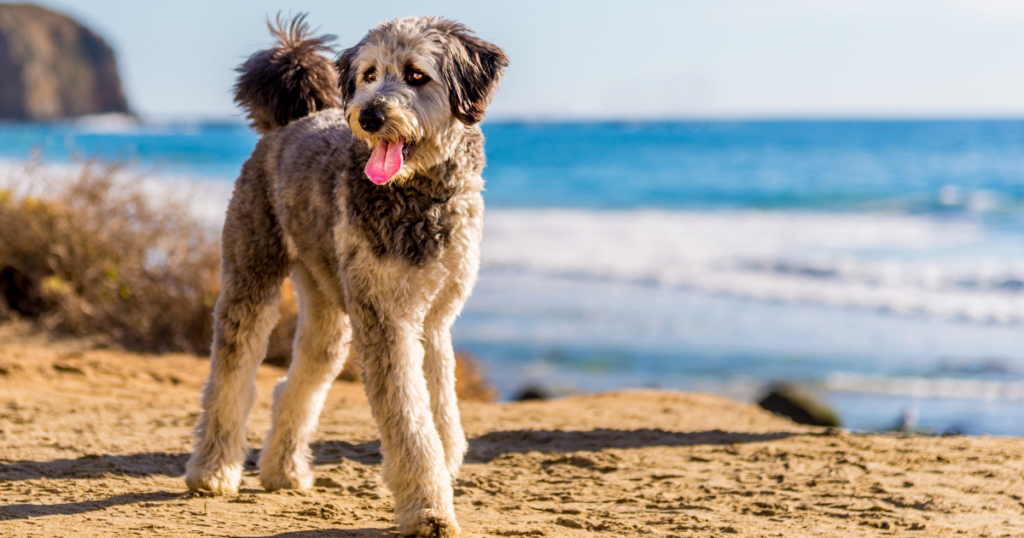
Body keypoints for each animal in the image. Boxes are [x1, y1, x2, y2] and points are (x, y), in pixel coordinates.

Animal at [186, 14, 505, 532]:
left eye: (416, 75)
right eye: (369, 73)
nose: (369, 116)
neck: (418, 196)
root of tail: (289, 122)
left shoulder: (434, 320)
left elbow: (441, 408)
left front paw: (444, 467)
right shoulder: (386, 321)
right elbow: (411, 422)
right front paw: (428, 508)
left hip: (328, 308)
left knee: (297, 382)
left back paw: (283, 469)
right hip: (251, 278)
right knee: (231, 377)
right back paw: (213, 469)